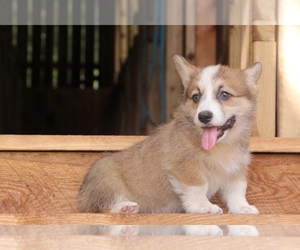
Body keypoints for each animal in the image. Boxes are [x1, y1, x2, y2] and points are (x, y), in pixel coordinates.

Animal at [78, 54, 262, 215]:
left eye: (224, 95)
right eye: (196, 97)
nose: (203, 116)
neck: (222, 146)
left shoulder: (236, 168)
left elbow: (237, 190)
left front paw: (242, 207)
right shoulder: (185, 165)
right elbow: (198, 186)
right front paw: (203, 206)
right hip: (107, 182)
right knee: (96, 209)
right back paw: (123, 208)